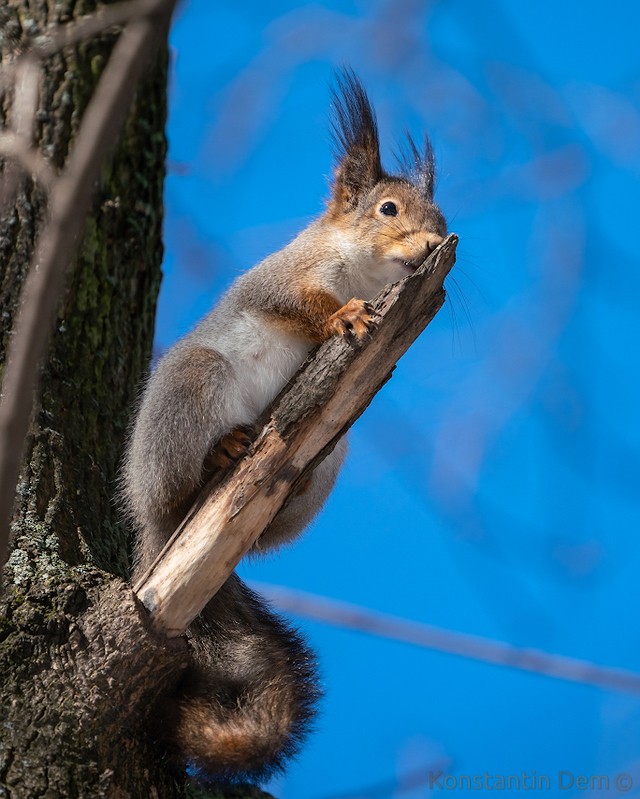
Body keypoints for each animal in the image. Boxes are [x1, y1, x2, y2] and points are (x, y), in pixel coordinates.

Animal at [122, 70, 448, 788]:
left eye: (439, 213)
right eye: (387, 209)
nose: (435, 242)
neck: (365, 271)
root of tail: (155, 530)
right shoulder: (281, 278)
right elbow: (299, 305)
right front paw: (344, 316)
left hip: (331, 453)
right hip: (193, 389)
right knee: (182, 483)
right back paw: (220, 455)